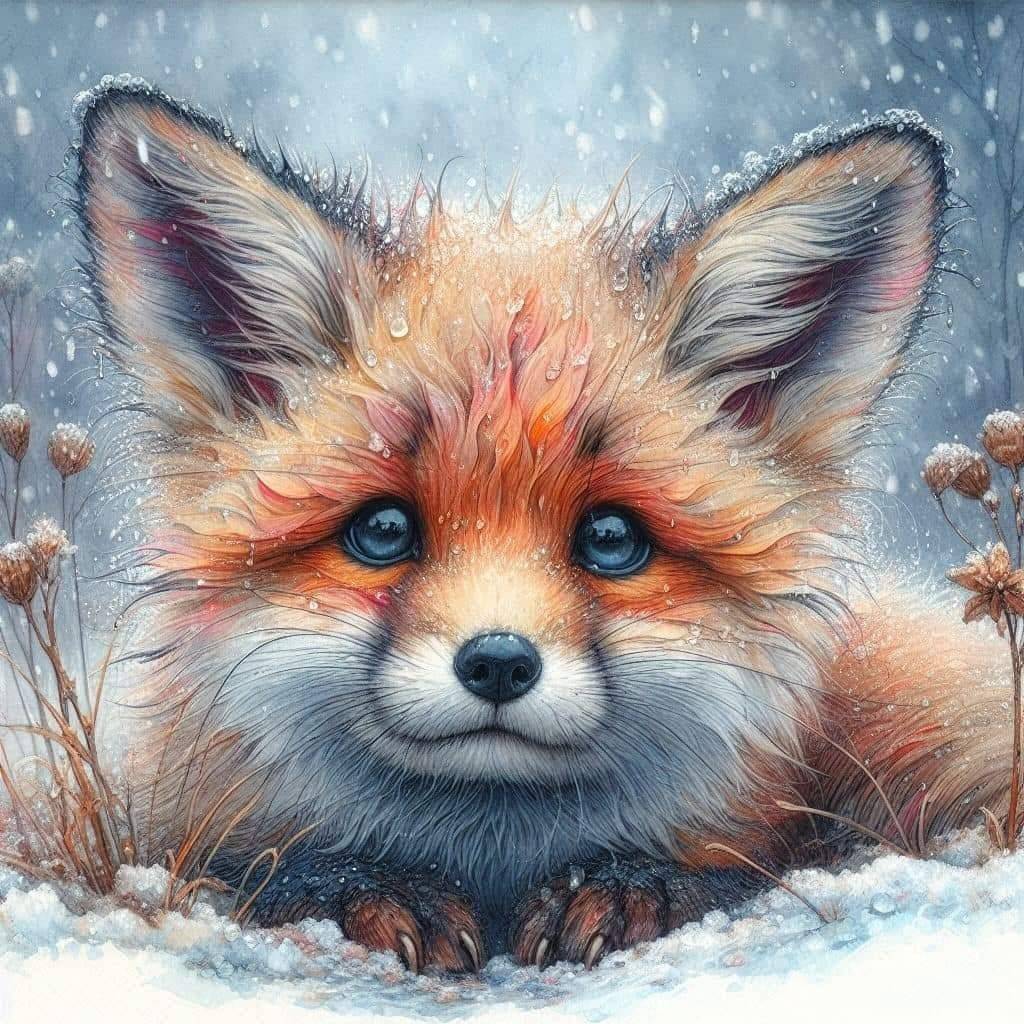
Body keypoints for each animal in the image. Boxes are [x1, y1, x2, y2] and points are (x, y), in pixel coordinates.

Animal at [73, 82, 1010, 974]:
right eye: (383, 529)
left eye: (612, 539)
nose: (497, 663)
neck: (493, 864)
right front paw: (371, 889)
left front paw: (623, 885)